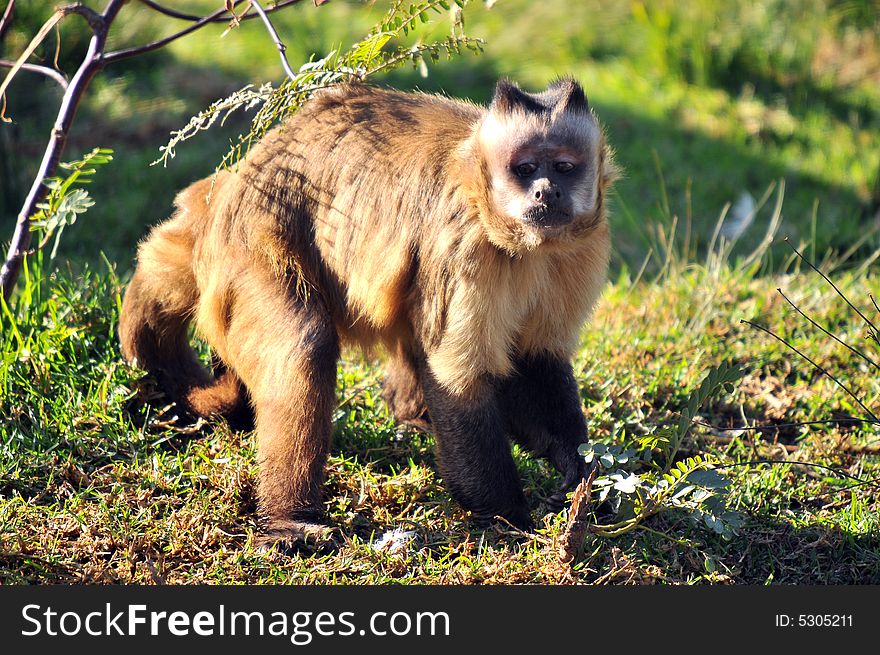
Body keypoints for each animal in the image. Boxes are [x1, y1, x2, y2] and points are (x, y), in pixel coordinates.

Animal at [120, 75, 620, 548]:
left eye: (563, 167)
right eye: (525, 168)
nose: (545, 192)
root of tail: (240, 178)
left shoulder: (583, 247)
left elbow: (534, 359)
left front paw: (577, 470)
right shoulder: (463, 243)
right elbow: (459, 380)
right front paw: (506, 517)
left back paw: (410, 420)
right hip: (246, 249)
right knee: (306, 345)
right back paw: (289, 519)